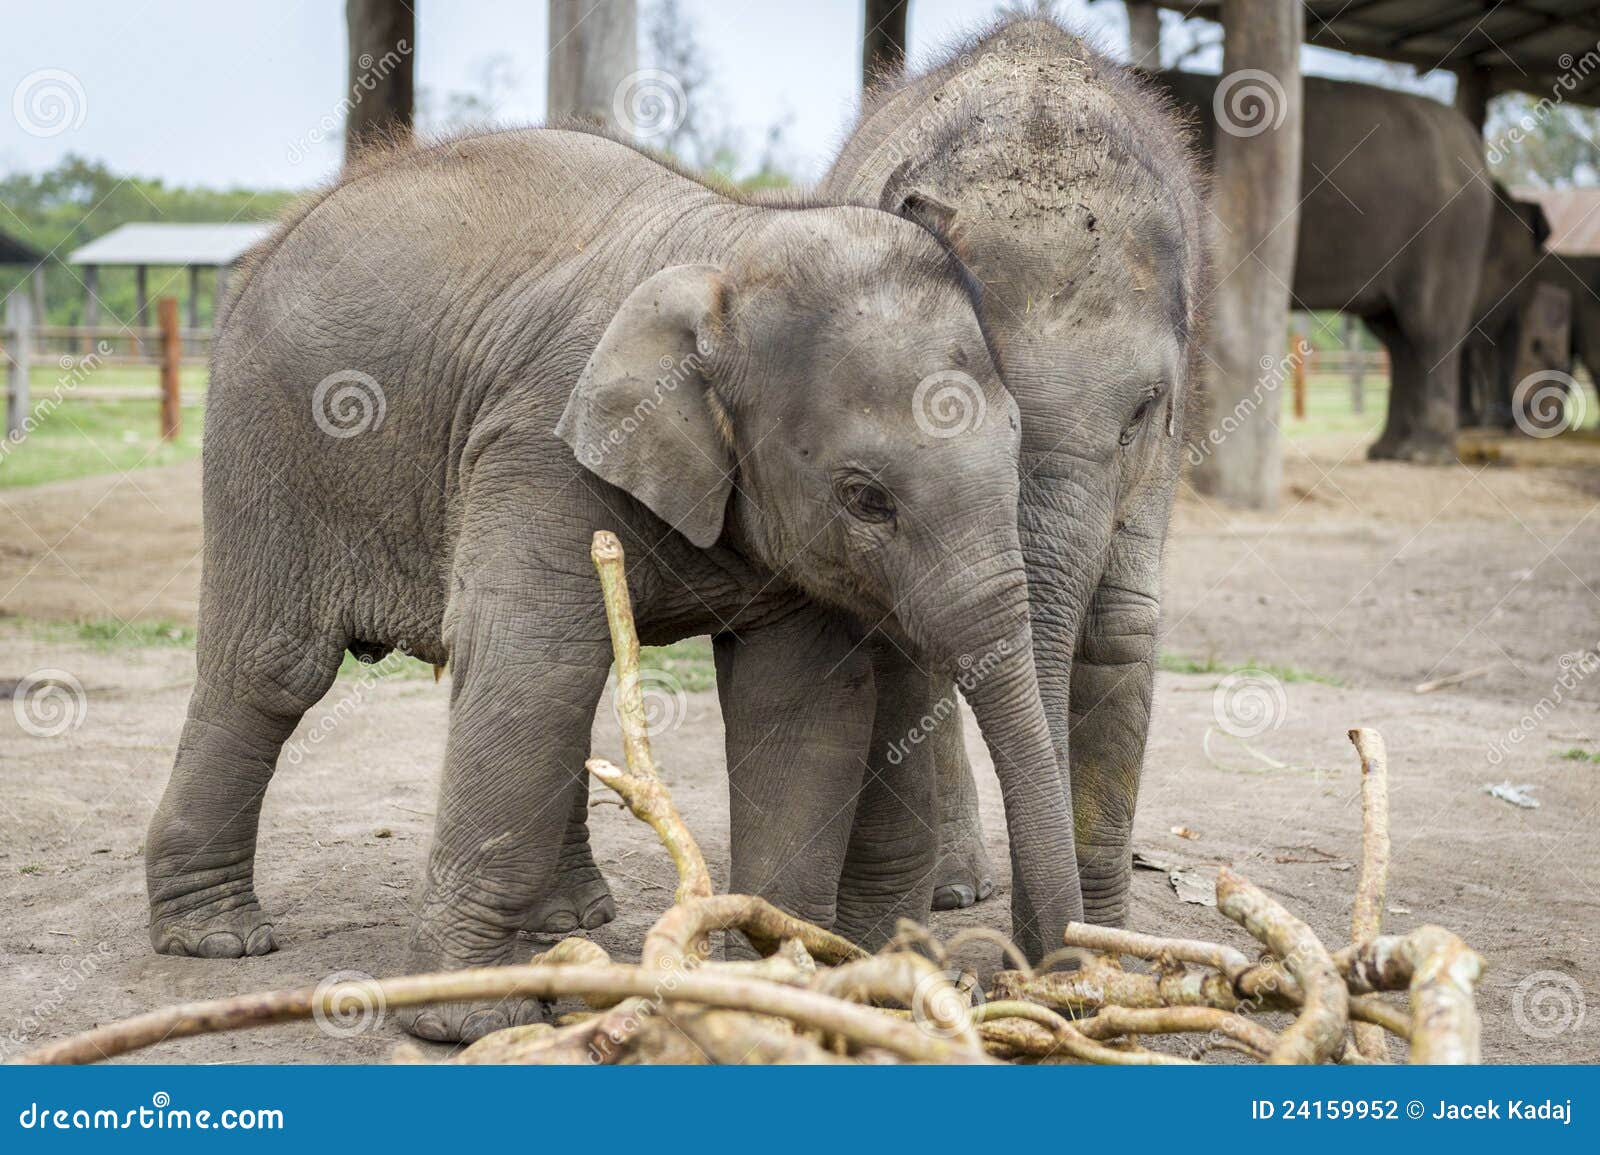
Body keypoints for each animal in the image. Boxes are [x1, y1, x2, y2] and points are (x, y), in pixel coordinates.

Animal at [144, 125, 1077, 1042]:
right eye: (866, 498)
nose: (1043, 979)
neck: (737, 244)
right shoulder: (540, 439)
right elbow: (534, 660)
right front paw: (471, 1017)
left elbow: (797, 699)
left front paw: (773, 989)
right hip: (268, 442)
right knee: (274, 671)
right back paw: (217, 939)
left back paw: (566, 922)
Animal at [1155, 69, 1493, 464]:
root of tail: (1474, 142)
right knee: (1398, 339)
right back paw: (1388, 450)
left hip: (1446, 234)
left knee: (1430, 331)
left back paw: (1424, 455)